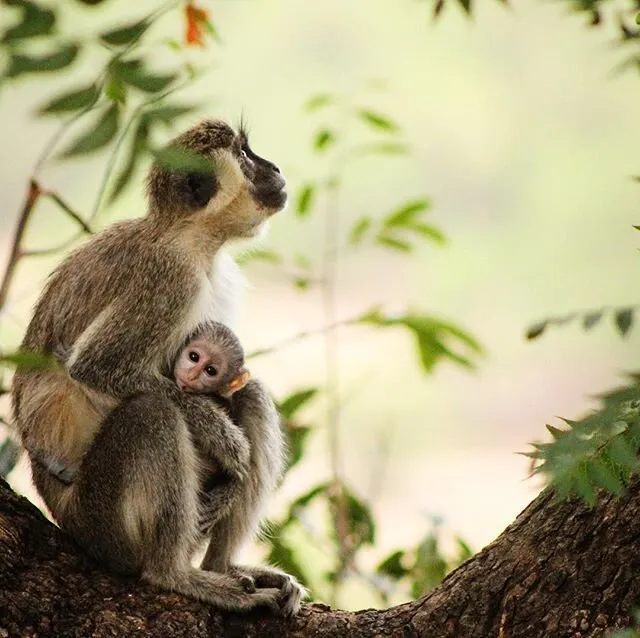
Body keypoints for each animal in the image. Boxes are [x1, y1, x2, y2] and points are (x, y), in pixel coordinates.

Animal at [11, 119, 304, 616]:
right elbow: (99, 367)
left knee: (251, 394)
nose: (277, 168)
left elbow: (235, 383)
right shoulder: (170, 278)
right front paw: (224, 439)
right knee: (152, 412)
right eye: (246, 156)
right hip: (99, 520)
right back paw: (176, 575)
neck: (192, 240)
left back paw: (221, 566)